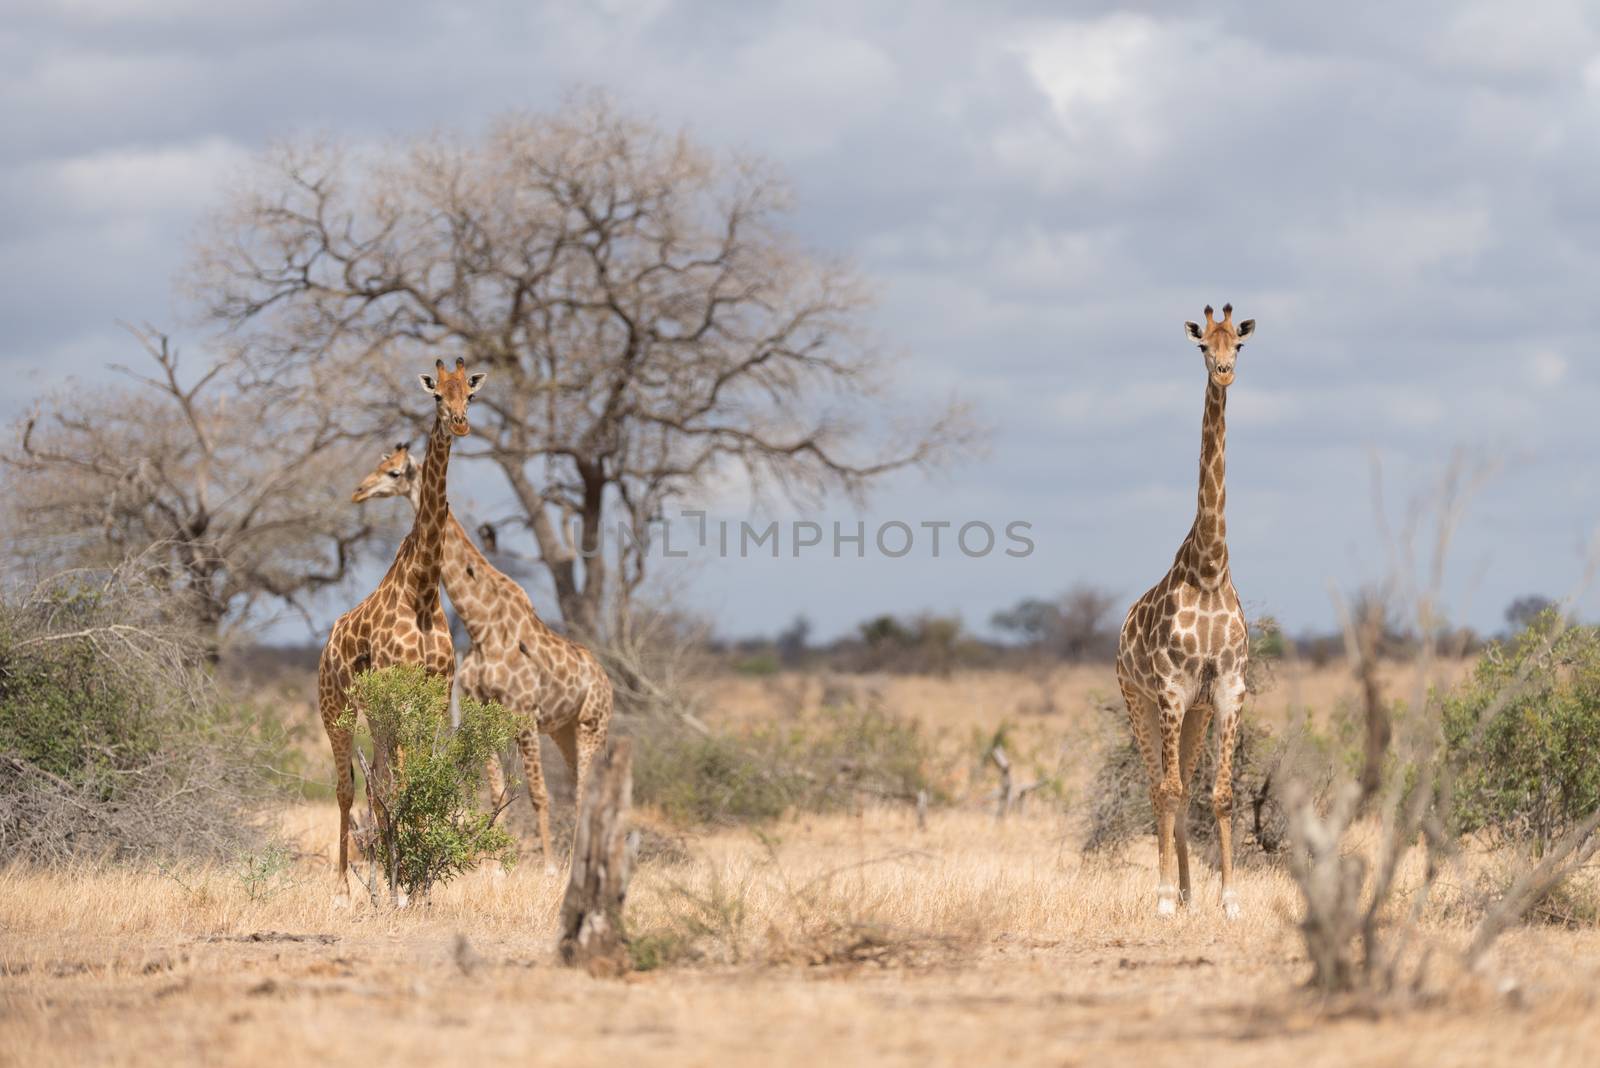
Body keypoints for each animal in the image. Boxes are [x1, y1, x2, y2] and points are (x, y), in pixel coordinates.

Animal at [315, 356, 483, 901]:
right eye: (437, 396)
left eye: (470, 394)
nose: (459, 423)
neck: (424, 591)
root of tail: (327, 643)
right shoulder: (400, 693)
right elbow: (398, 784)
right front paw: (398, 884)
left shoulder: (434, 693)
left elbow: (421, 778)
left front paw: (416, 881)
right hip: (338, 709)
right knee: (349, 785)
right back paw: (345, 885)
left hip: (377, 715)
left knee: (376, 780)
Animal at [350, 441, 611, 869]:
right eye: (378, 465)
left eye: (393, 473)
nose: (358, 491)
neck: (481, 625)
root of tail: (607, 681)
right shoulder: (481, 707)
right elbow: (494, 792)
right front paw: (495, 868)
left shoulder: (524, 713)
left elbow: (538, 794)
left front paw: (548, 867)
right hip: (565, 730)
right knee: (582, 788)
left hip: (593, 725)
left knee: (585, 791)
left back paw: (574, 861)